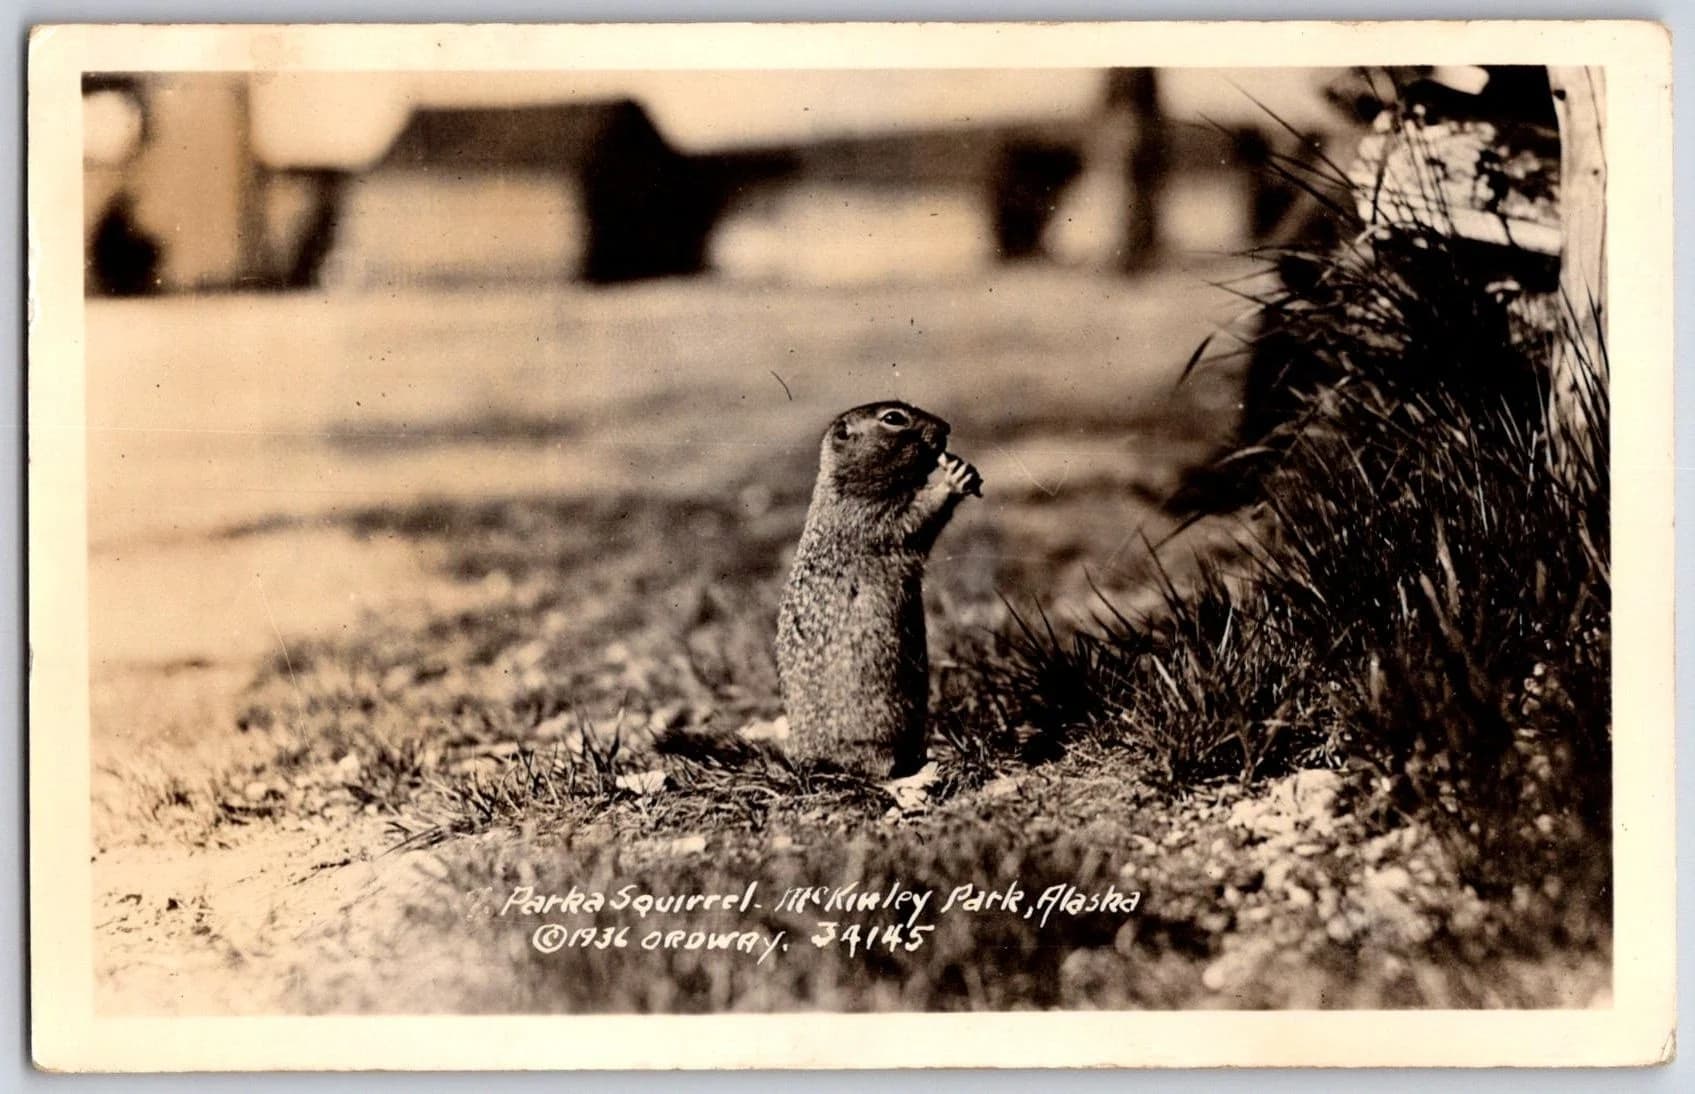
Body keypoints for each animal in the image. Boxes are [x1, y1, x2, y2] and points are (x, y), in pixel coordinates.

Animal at [775, 401, 982, 780]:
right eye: (893, 418)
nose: (947, 427)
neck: (846, 483)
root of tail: (802, 755)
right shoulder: (874, 517)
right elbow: (917, 517)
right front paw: (953, 480)